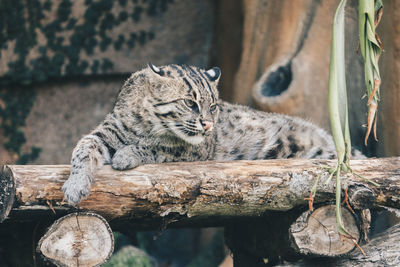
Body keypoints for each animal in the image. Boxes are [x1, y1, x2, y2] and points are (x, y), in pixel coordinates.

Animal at [63, 63, 338, 205]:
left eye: (213, 106)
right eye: (190, 103)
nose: (207, 125)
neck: (149, 124)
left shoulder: (195, 150)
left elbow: (159, 147)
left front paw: (125, 155)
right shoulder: (107, 132)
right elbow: (82, 147)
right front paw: (75, 186)